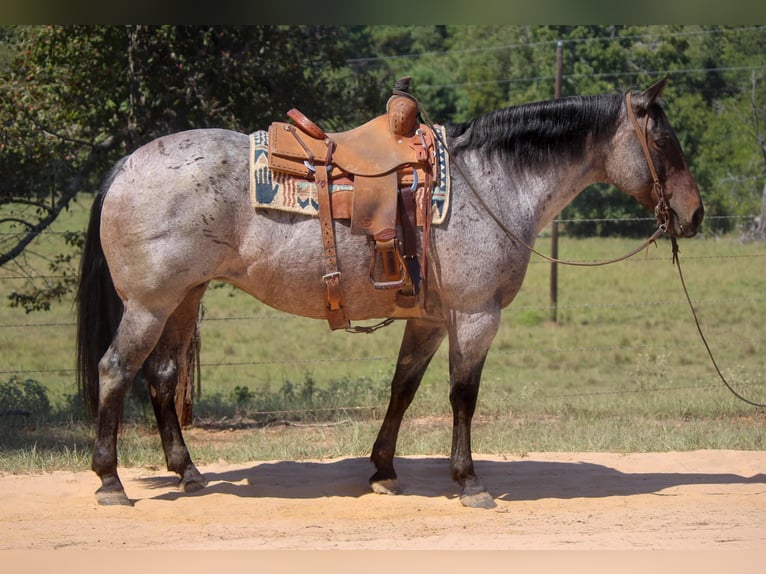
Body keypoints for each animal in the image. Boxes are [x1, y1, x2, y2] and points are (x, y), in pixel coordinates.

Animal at [76, 76, 704, 508]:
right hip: (149, 305)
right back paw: (110, 480)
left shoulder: (430, 318)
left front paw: (383, 470)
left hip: (184, 299)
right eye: (663, 138)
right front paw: (468, 480)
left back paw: (187, 472)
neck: (493, 183)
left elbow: (403, 388)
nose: (695, 214)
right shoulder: (475, 316)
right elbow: (462, 396)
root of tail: (125, 165)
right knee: (115, 370)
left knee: (160, 378)